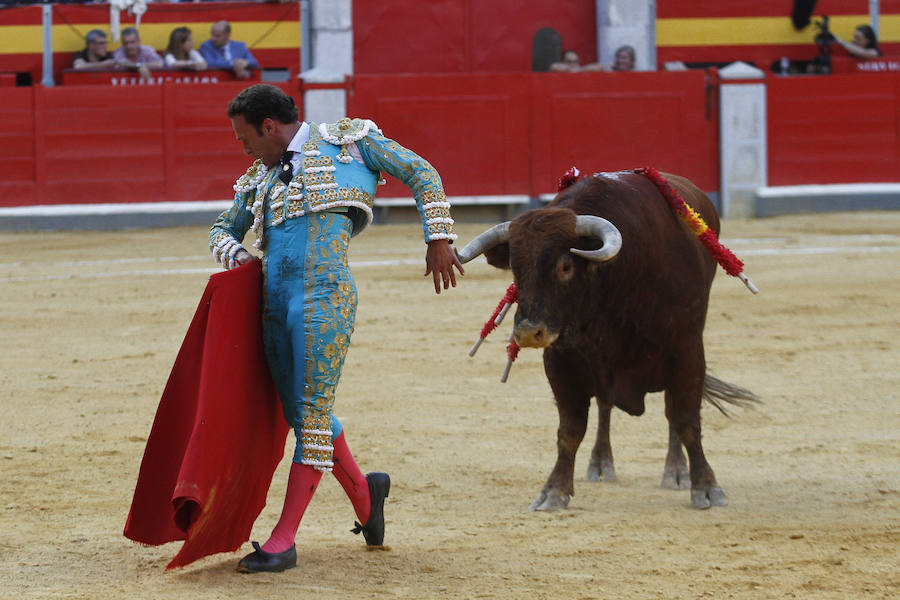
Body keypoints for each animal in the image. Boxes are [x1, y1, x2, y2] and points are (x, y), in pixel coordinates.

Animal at [458, 169, 760, 510]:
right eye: (515, 270)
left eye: (565, 266)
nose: (527, 332)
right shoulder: (561, 358)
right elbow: (570, 429)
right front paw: (554, 491)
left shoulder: (686, 350)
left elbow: (685, 420)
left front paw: (706, 487)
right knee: (604, 406)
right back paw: (601, 463)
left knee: (671, 411)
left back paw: (676, 471)